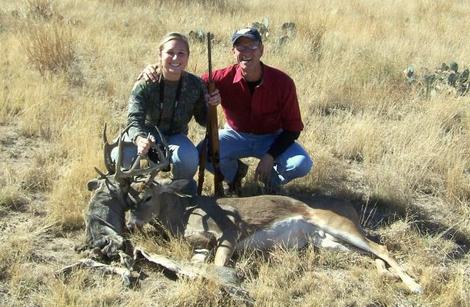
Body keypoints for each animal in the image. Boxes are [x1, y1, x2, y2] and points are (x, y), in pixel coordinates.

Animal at [127, 182, 422, 294]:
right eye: (131, 196)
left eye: (148, 196)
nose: (130, 222)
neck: (185, 212)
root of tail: (350, 208)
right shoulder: (201, 247)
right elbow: (195, 266)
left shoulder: (229, 235)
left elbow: (219, 267)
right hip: (328, 242)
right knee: (370, 253)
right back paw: (388, 276)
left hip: (338, 227)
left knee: (381, 247)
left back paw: (415, 285)